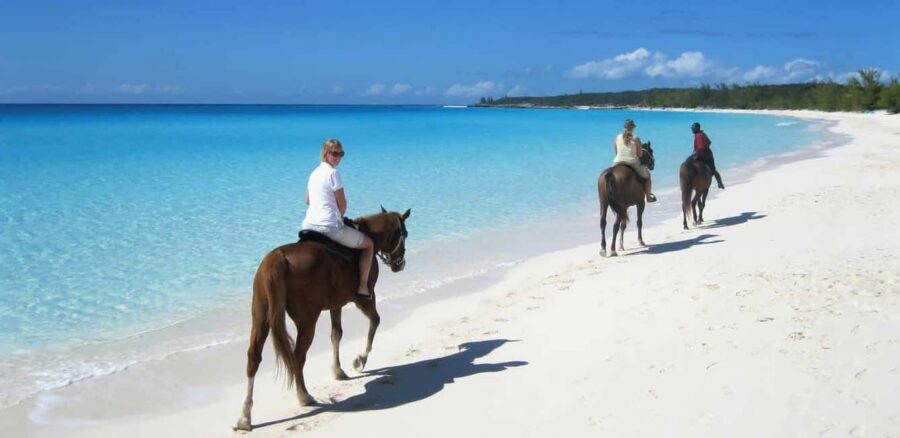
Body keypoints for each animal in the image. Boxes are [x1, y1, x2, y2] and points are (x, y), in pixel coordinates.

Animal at [234, 207, 411, 432]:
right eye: (404, 233)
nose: (400, 264)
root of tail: (278, 258)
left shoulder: (336, 304)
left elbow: (336, 334)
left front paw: (338, 370)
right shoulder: (364, 299)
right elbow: (375, 322)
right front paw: (359, 360)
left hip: (261, 317)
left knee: (254, 357)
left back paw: (245, 416)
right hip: (307, 320)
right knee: (298, 356)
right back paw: (303, 395)